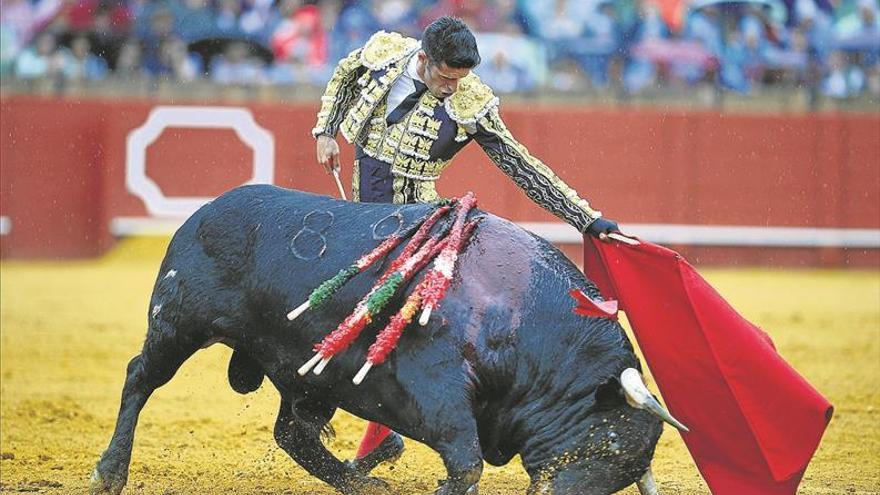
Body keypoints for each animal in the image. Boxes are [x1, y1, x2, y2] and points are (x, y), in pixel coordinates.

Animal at [93, 186, 664, 495]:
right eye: (609, 441)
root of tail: (205, 211)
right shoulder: (436, 387)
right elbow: (466, 462)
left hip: (305, 373)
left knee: (292, 432)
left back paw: (358, 481)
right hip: (178, 324)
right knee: (140, 378)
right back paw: (109, 471)